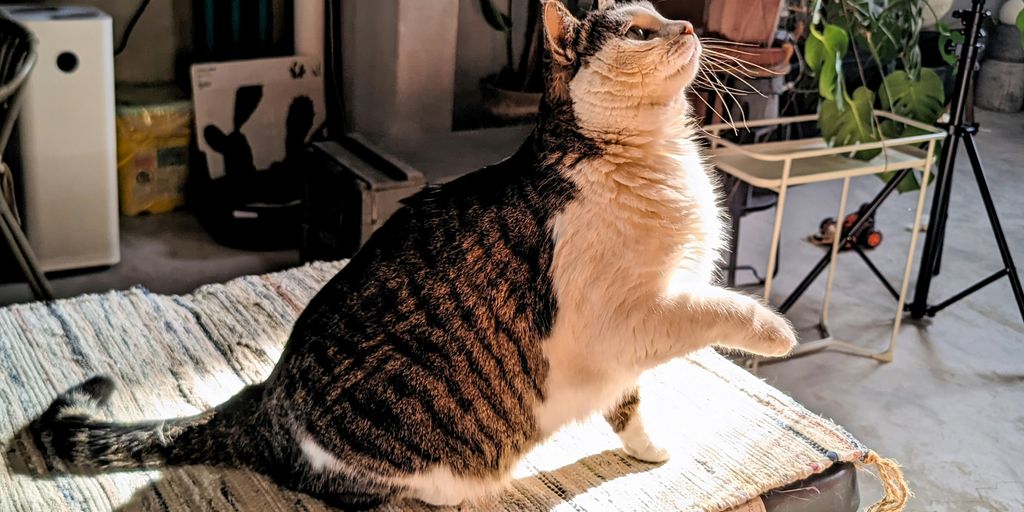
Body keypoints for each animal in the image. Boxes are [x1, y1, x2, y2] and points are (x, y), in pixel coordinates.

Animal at [24, 1, 790, 507]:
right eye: (639, 31)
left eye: (660, 11)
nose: (689, 26)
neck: (657, 162)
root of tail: (262, 401)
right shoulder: (626, 315)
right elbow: (713, 310)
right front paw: (774, 332)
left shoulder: (628, 349)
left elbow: (629, 402)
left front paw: (651, 450)